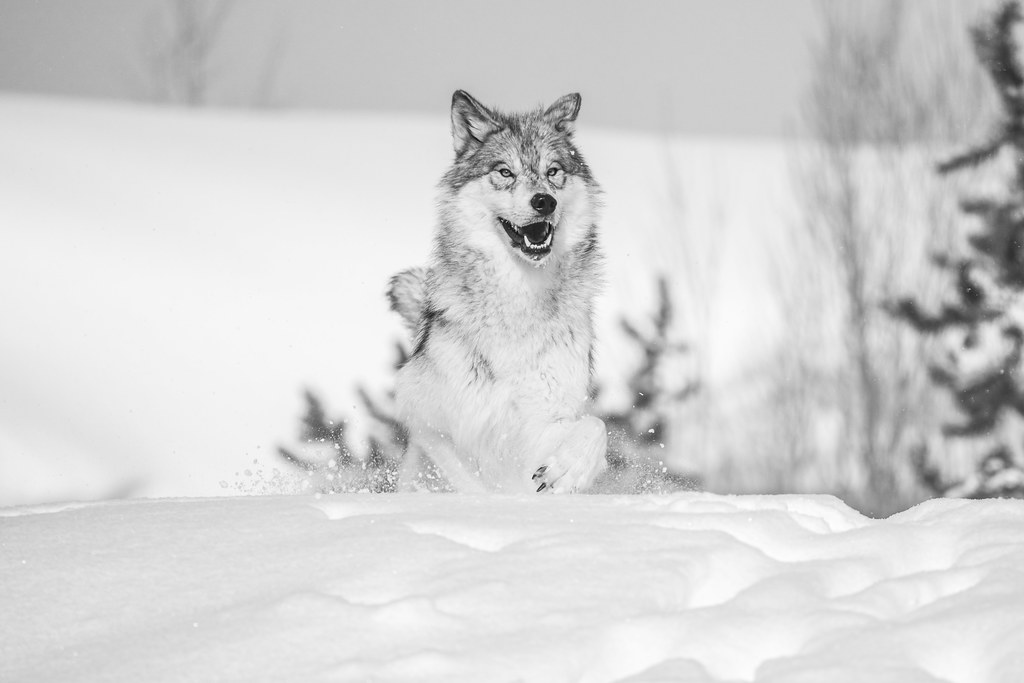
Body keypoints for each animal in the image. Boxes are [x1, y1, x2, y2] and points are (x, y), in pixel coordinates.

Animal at [387, 90, 607, 493]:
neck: (520, 299)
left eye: (553, 172)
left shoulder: (546, 418)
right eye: (505, 172)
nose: (544, 201)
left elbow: (595, 427)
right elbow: (470, 483)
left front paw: (565, 472)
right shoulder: (433, 421)